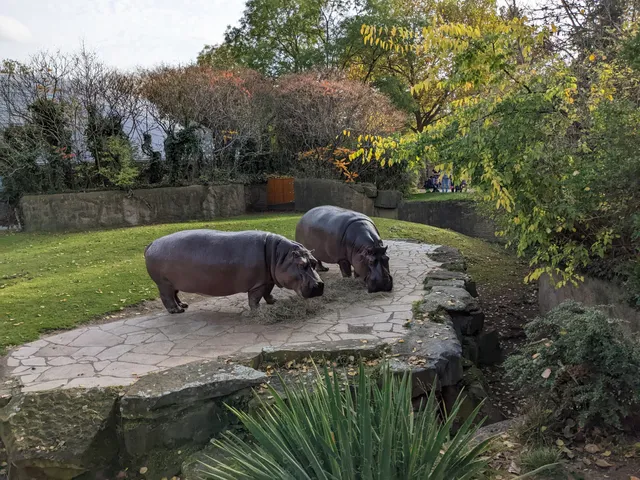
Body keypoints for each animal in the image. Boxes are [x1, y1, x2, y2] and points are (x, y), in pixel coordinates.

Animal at [144, 229, 324, 313]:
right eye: (301, 264)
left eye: (314, 262)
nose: (320, 285)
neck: (279, 256)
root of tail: (151, 243)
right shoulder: (257, 284)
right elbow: (255, 298)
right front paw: (257, 310)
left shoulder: (268, 279)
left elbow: (268, 292)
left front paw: (273, 301)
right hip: (163, 283)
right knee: (167, 297)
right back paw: (177, 311)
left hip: (173, 282)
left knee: (175, 294)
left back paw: (183, 305)